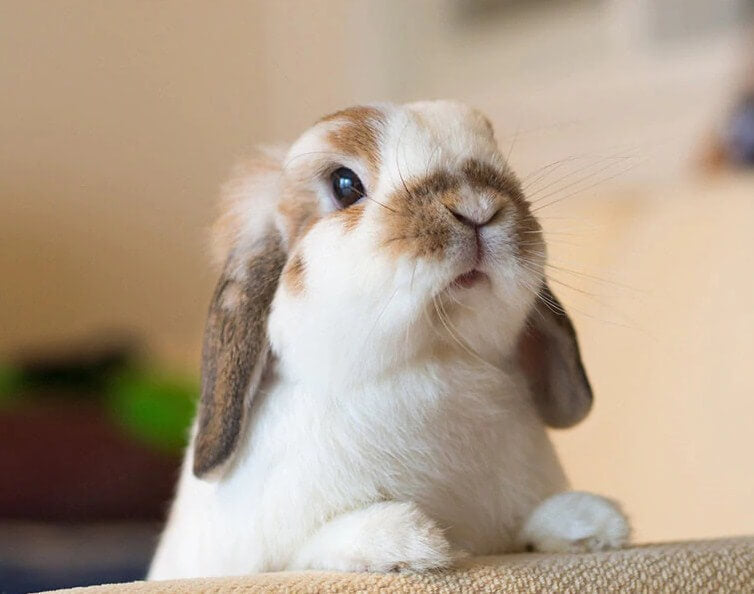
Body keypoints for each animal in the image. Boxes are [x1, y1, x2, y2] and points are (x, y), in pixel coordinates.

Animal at [148, 100, 629, 580]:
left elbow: (530, 526)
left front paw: (592, 523)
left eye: (498, 161)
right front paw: (406, 541)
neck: (435, 355)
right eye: (345, 185)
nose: (477, 207)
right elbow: (312, 547)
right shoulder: (273, 557)